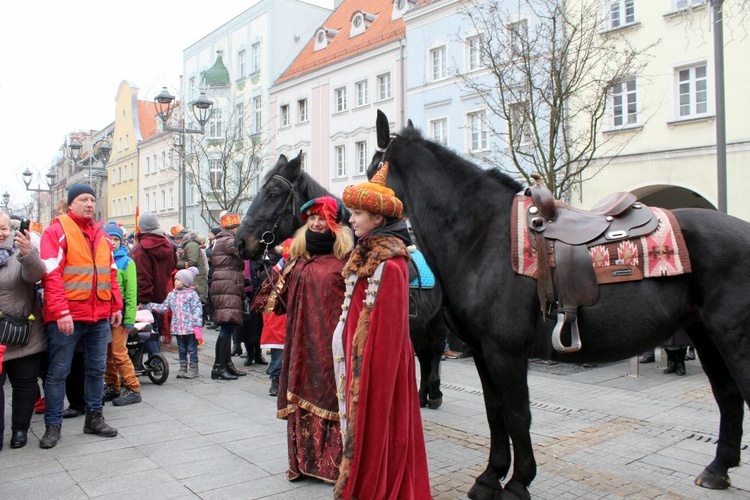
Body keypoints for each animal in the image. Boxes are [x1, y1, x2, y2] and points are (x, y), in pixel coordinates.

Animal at [235, 153, 446, 410]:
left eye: (273, 193)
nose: (240, 243)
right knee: (424, 352)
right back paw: (423, 394)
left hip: (438, 317)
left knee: (435, 349)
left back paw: (434, 393)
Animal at [374, 110, 750, 500]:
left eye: (373, 166)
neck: (481, 236)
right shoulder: (481, 350)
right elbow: (495, 411)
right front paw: (490, 476)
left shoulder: (505, 351)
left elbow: (517, 414)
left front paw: (518, 482)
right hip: (705, 335)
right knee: (727, 395)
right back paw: (717, 469)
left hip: (733, 338)